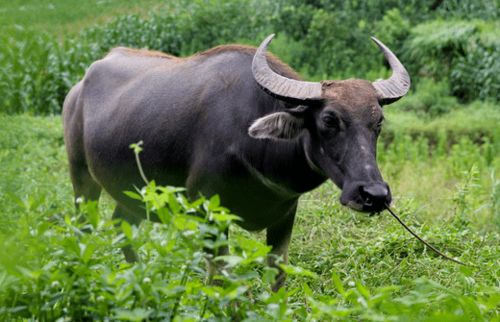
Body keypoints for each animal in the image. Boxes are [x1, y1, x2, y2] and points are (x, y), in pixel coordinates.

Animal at [63, 33, 410, 290]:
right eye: (329, 119)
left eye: (378, 122)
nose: (374, 195)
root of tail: (77, 89)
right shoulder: (207, 212)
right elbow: (221, 280)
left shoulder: (285, 215)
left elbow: (277, 277)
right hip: (81, 178)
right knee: (83, 227)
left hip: (134, 195)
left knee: (122, 226)